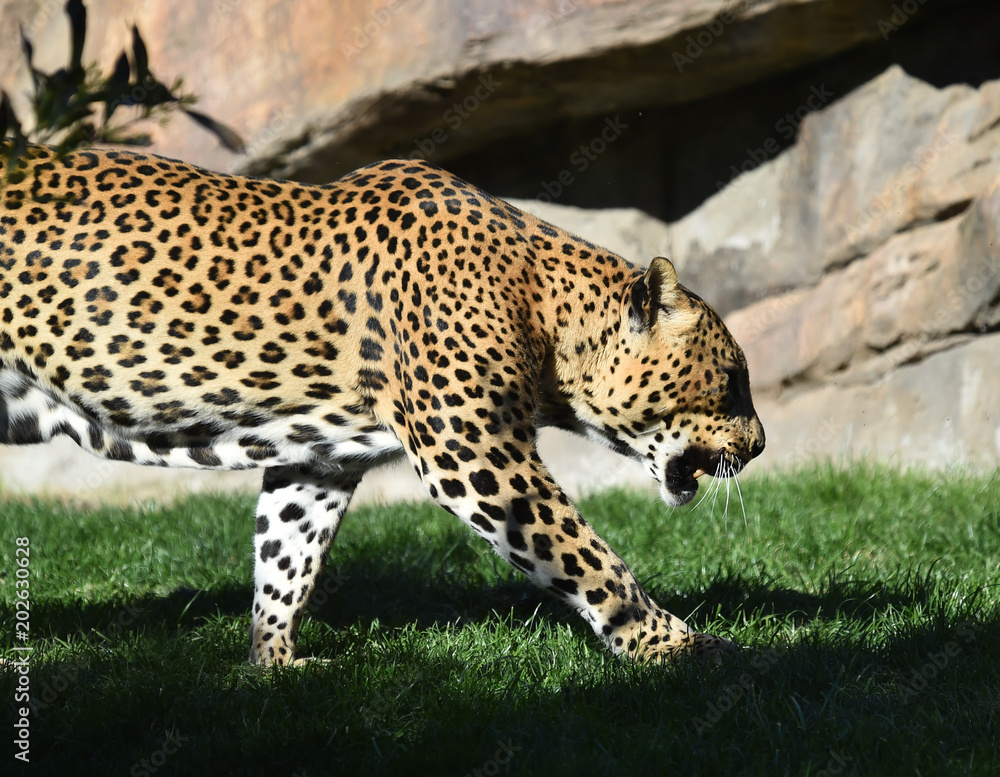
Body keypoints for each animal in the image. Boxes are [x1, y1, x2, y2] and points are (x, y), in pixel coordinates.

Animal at [0, 142, 764, 666]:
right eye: (732, 380)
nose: (758, 445)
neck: (546, 313)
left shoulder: (317, 462)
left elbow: (286, 556)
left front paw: (273, 664)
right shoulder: (477, 452)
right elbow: (591, 558)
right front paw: (680, 647)